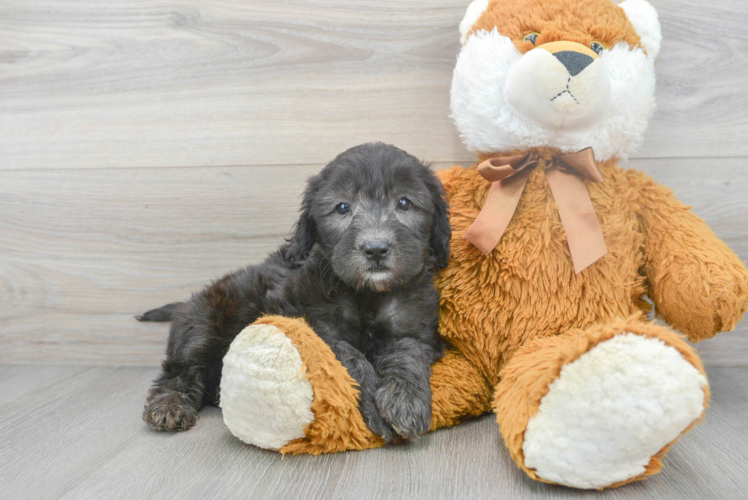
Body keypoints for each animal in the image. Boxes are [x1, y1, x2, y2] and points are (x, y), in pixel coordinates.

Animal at [140, 143, 450, 444]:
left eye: (404, 203)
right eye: (342, 207)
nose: (375, 249)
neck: (364, 293)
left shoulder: (414, 328)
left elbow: (406, 354)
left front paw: (406, 400)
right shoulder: (305, 325)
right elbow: (346, 353)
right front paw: (375, 407)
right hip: (202, 326)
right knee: (180, 372)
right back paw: (169, 406)